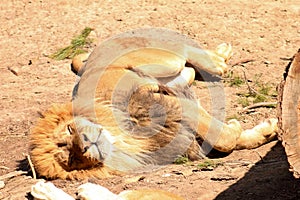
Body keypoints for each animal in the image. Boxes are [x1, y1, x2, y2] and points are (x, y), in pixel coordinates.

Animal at [29, 27, 278, 180]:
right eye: (71, 158)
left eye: (69, 130)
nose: (85, 145)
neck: (124, 140)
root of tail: (93, 55)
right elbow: (228, 140)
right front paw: (267, 131)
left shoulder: (169, 105)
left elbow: (223, 138)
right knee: (185, 70)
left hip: (156, 61)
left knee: (184, 52)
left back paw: (219, 58)